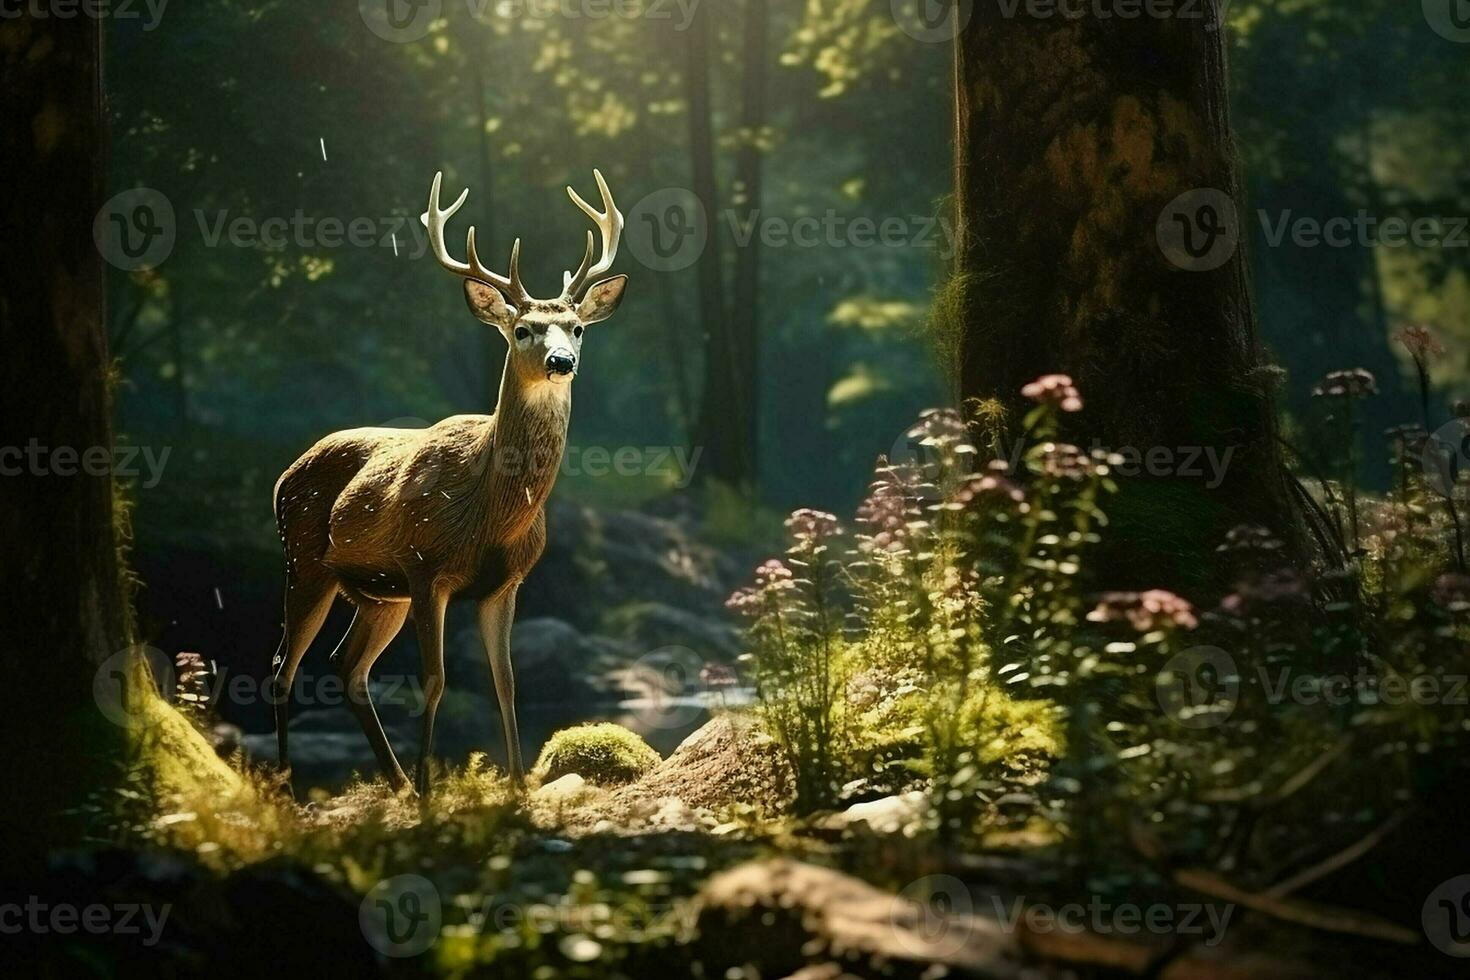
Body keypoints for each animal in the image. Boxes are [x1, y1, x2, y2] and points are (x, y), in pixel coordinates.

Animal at [270, 168, 626, 799]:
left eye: (578, 327)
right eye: (523, 329)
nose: (561, 361)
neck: (492, 515)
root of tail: (283, 476)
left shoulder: (506, 582)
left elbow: (506, 681)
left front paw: (516, 783)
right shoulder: (425, 565)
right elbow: (434, 680)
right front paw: (432, 786)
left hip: (376, 592)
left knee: (346, 665)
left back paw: (394, 781)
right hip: (305, 558)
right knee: (284, 668)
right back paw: (294, 787)